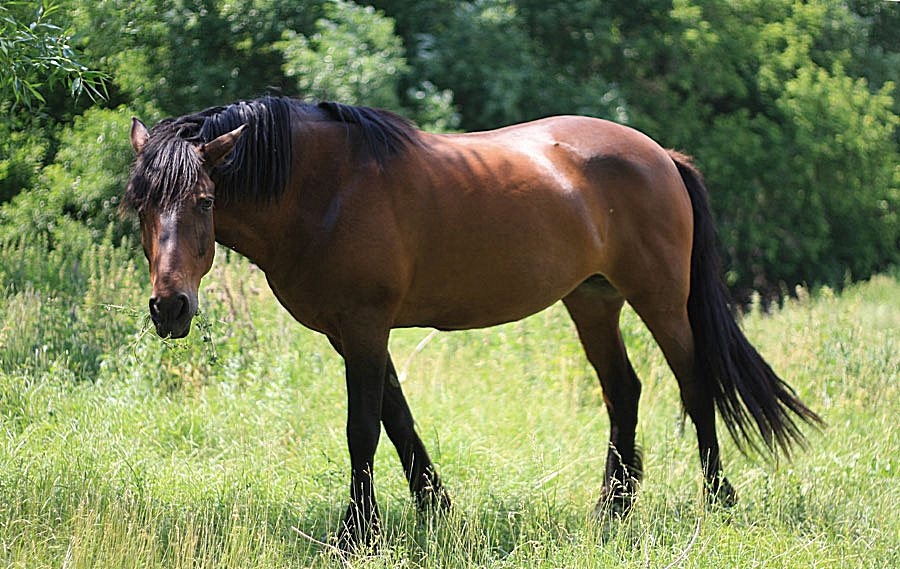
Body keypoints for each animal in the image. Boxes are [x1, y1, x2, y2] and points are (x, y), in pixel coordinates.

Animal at [126, 96, 824, 544]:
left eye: (205, 200)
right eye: (141, 205)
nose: (170, 308)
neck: (327, 189)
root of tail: (659, 155)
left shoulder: (365, 326)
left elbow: (363, 429)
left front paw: (358, 534)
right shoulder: (352, 334)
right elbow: (398, 421)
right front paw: (435, 511)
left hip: (658, 297)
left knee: (694, 384)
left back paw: (717, 502)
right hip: (592, 300)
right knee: (624, 390)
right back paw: (612, 511)